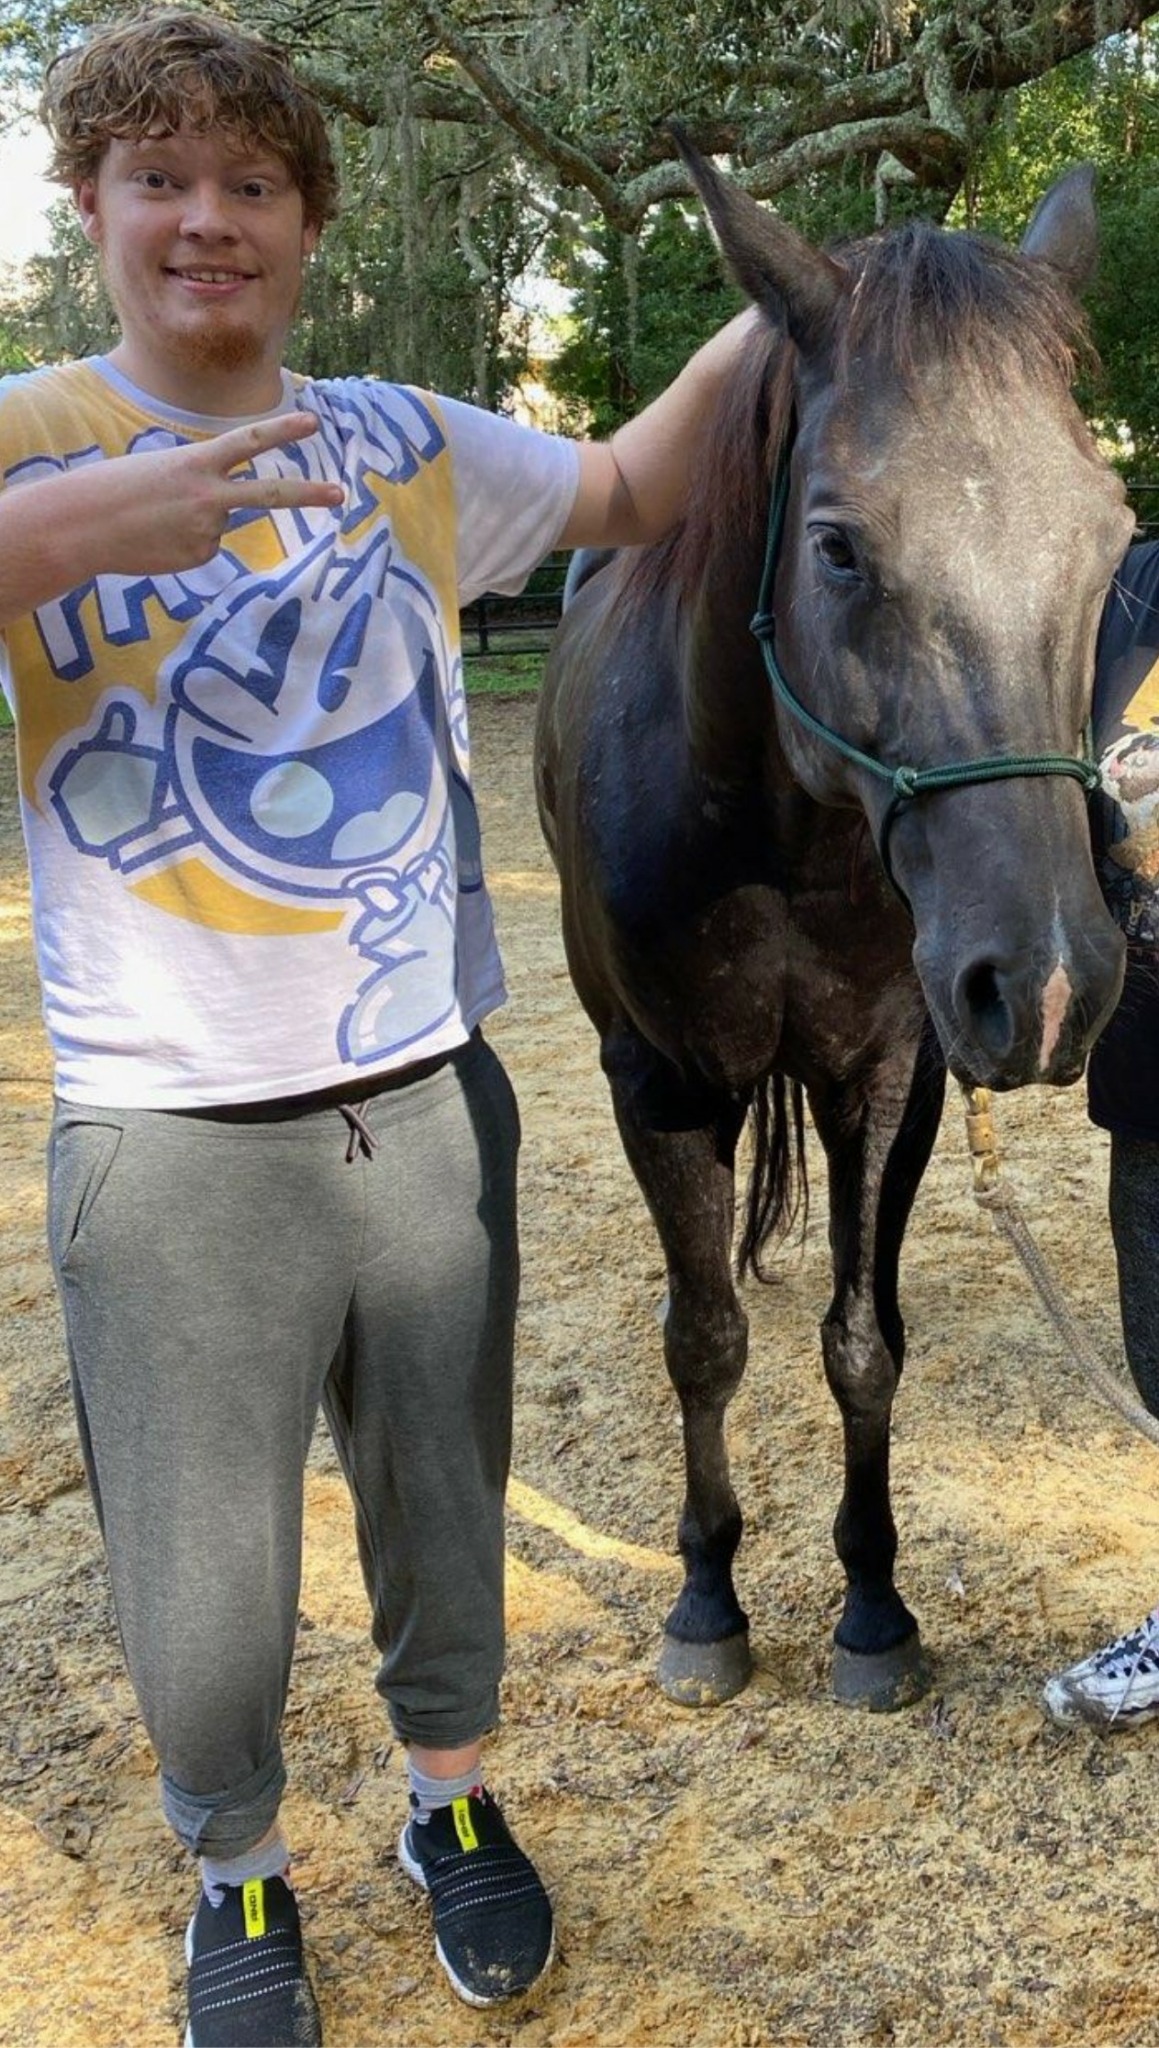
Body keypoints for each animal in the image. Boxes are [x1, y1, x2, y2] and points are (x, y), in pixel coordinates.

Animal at [533, 143, 1134, 1714]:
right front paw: (703, 1599)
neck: (783, 845)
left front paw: (871, 1607)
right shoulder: (661, 1084)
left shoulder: (889, 1074)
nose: (1047, 985)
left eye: (1109, 536)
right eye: (839, 546)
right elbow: (702, 1342)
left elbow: (863, 1343)